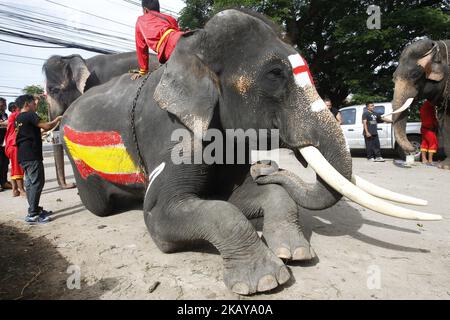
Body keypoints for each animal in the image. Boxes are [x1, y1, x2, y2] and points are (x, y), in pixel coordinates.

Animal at [61, 9, 442, 296]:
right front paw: (265, 281)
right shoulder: (172, 132)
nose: (268, 168)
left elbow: (238, 196)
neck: (194, 50)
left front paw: (296, 253)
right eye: (275, 74)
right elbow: (164, 213)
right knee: (101, 204)